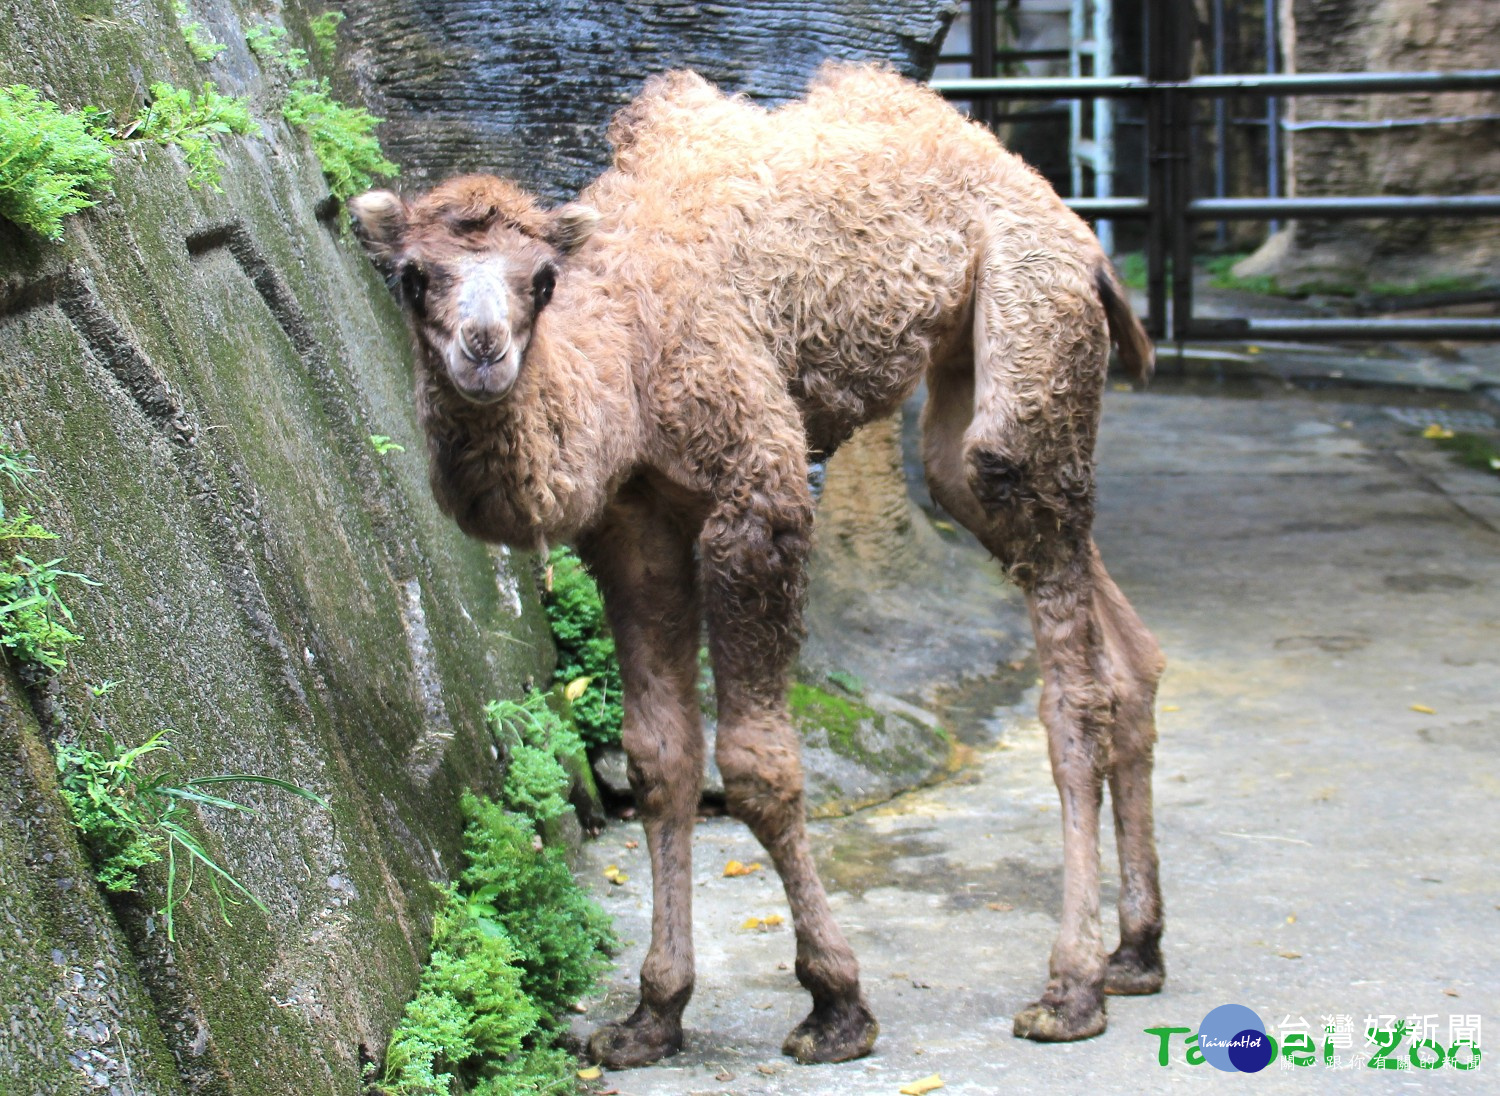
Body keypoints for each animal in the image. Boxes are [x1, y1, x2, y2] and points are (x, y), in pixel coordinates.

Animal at [345, 62, 1164, 1073]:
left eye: (540, 278)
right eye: (414, 276)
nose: (484, 350)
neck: (625, 348)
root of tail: (1077, 229)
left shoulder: (757, 496)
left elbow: (755, 765)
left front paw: (835, 1000)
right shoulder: (634, 529)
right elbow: (658, 759)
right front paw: (650, 1013)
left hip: (1030, 325)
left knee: (1069, 679)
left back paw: (1070, 986)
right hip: (967, 404)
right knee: (1118, 645)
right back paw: (1136, 952)